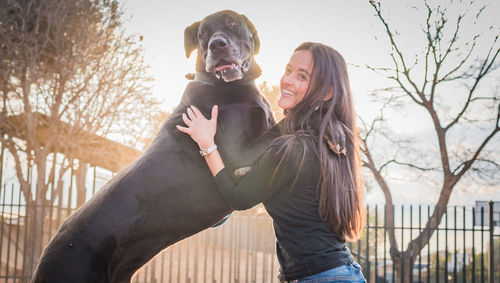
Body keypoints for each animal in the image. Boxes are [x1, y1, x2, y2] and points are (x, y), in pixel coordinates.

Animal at [32, 10, 274, 282]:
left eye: (233, 23)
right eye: (203, 35)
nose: (217, 45)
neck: (225, 84)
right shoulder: (239, 153)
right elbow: (283, 134)